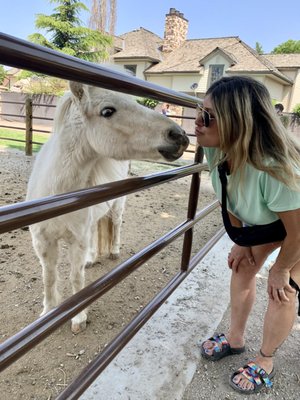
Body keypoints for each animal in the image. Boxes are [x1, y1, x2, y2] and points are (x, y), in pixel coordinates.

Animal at [27, 80, 189, 332]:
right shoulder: (43, 242)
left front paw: (78, 318)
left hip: (117, 207)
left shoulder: (77, 241)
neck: (57, 195)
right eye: (107, 111)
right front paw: (48, 312)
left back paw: (113, 251)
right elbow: (49, 277)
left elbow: (76, 277)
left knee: (116, 225)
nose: (179, 135)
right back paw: (93, 258)